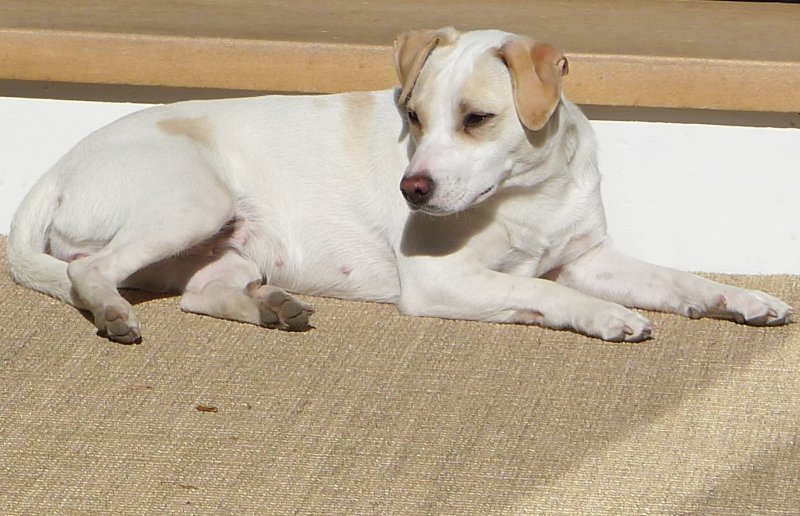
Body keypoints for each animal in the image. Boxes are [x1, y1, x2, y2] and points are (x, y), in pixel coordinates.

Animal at [7, 27, 792, 343]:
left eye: (477, 119)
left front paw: (742, 299)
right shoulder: (445, 281)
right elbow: (546, 294)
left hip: (227, 247)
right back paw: (115, 314)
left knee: (201, 294)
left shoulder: (590, 257)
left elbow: (680, 279)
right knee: (92, 274)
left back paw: (273, 307)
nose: (412, 189)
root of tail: (57, 166)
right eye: (413, 116)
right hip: (194, 203)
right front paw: (606, 317)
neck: (524, 197)